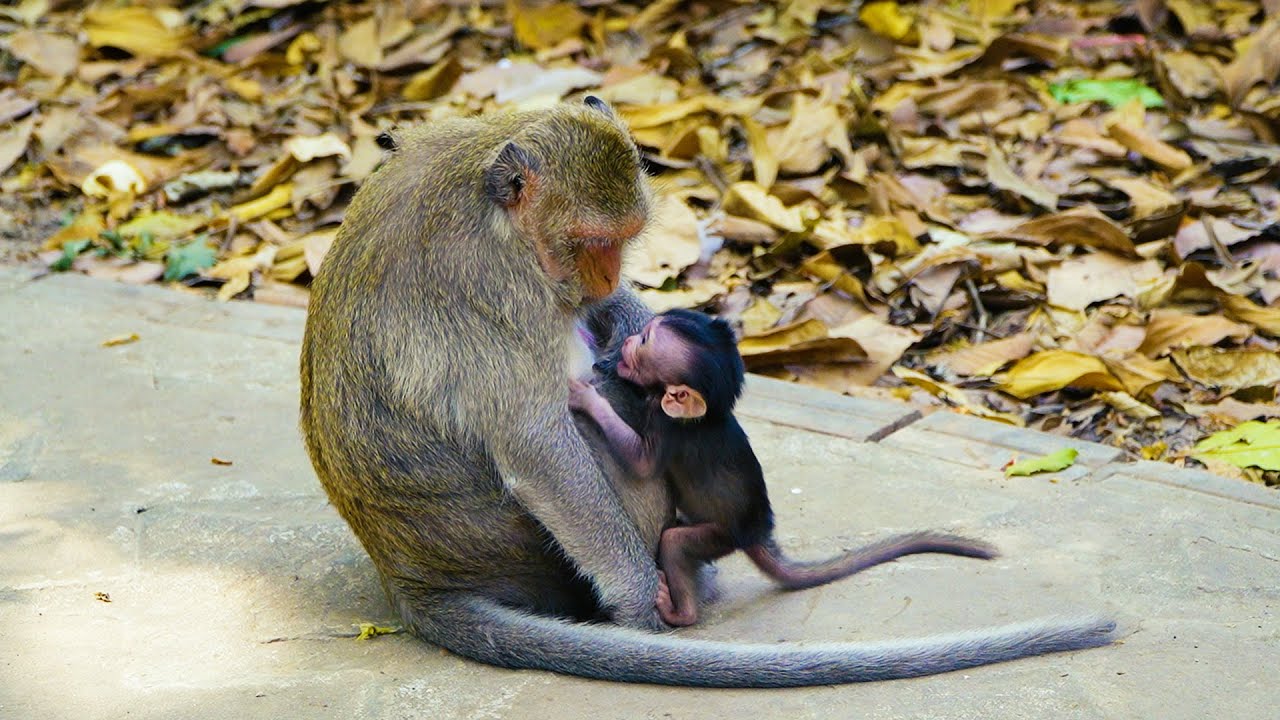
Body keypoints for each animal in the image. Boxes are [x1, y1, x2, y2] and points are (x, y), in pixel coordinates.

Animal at [568, 308, 997, 626]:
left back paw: (680, 611)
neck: (707, 414)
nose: (626, 341)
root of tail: (755, 532)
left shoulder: (666, 422)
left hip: (719, 535)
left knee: (675, 542)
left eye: (644, 341)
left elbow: (642, 462)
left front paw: (587, 399)